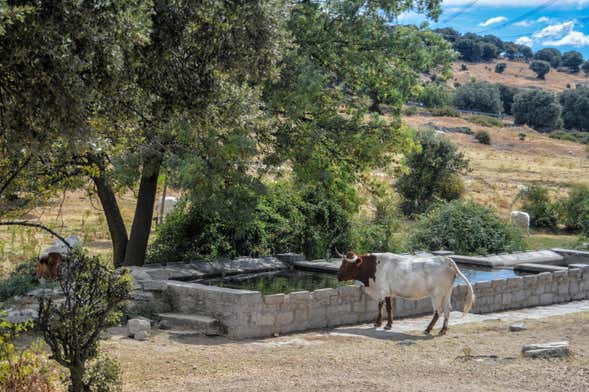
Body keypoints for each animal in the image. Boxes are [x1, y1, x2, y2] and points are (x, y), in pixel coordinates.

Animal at [336, 253, 474, 336]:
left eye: (347, 264)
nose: (338, 276)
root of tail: (446, 259)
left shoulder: (382, 290)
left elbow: (382, 307)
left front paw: (381, 324)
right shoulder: (388, 292)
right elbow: (387, 307)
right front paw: (385, 324)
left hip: (437, 294)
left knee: (438, 311)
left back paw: (428, 329)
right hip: (447, 292)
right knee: (447, 309)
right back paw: (443, 330)